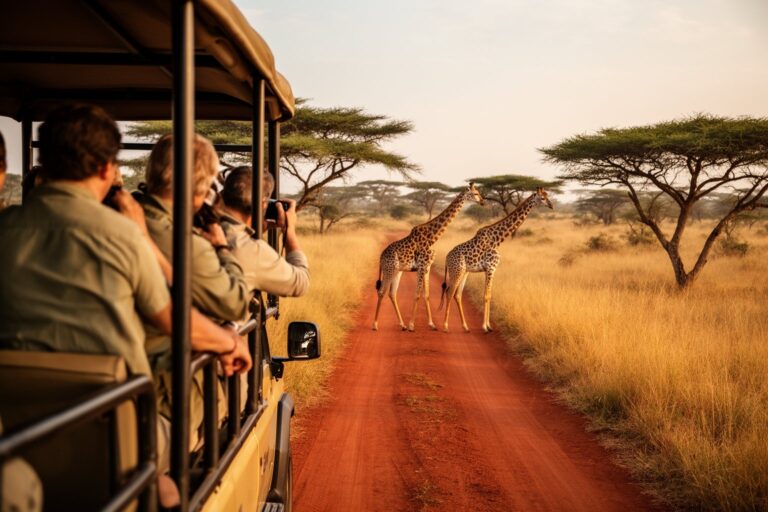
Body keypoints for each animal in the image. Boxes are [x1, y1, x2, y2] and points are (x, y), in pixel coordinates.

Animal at [373, 183, 484, 332]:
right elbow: (417, 294)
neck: (433, 237)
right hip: (389, 269)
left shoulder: (427, 267)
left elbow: (426, 295)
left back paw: (402, 325)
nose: (482, 202)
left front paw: (431, 324)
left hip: (398, 271)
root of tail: (381, 256)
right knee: (381, 292)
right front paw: (412, 325)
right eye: (476, 193)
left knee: (392, 293)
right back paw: (375, 325)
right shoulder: (421, 266)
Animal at [439, 187, 553, 333]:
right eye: (542, 198)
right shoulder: (490, 268)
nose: (551, 205)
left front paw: (488, 326)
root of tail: (446, 258)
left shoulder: (491, 270)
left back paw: (465, 326)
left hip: (465, 272)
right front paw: (485, 327)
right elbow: (486, 296)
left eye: (547, 195)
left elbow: (489, 295)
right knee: (449, 292)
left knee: (457, 295)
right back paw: (445, 326)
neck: (497, 240)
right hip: (456, 271)